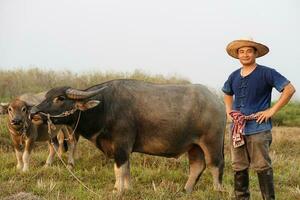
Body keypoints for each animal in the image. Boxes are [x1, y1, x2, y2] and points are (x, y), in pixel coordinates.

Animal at [30, 79, 226, 192]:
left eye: (60, 98)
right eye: (46, 96)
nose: (33, 113)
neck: (105, 107)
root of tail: (217, 102)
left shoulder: (122, 145)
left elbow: (119, 169)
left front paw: (120, 190)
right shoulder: (122, 148)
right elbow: (126, 170)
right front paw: (124, 187)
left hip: (212, 142)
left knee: (215, 165)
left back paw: (216, 191)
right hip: (194, 146)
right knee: (197, 166)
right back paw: (186, 190)